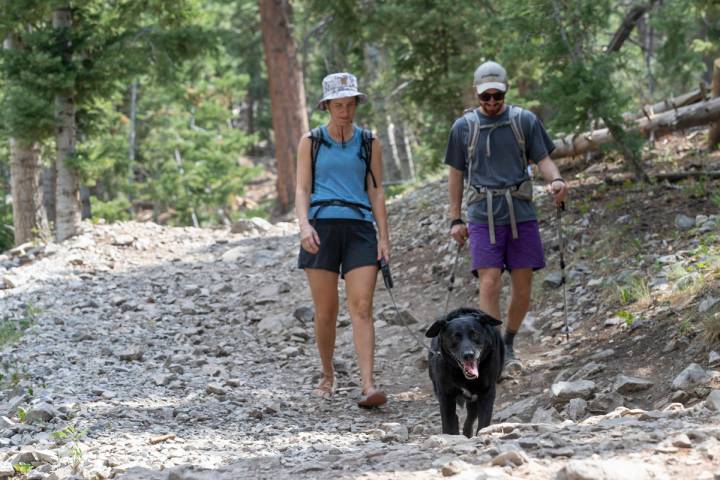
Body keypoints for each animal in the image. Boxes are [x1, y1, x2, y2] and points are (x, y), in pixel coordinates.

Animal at [424, 308, 504, 438]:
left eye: (475, 334)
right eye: (455, 337)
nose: (468, 355)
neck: (464, 377)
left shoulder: (487, 393)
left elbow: (484, 422)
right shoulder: (445, 395)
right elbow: (448, 423)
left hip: (473, 399)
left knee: (470, 418)